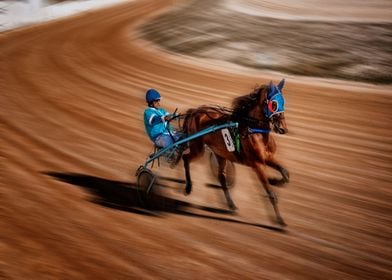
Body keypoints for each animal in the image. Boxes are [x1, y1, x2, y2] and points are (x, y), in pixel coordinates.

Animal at [182, 78, 290, 225]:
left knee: (221, 177)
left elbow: (285, 173)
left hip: (220, 154)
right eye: (274, 104)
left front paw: (274, 180)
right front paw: (280, 220)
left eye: (283, 101)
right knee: (185, 158)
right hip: (197, 147)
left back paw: (231, 205)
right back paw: (188, 187)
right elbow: (271, 193)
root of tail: (195, 111)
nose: (283, 129)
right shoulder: (258, 164)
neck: (255, 129)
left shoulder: (268, 158)